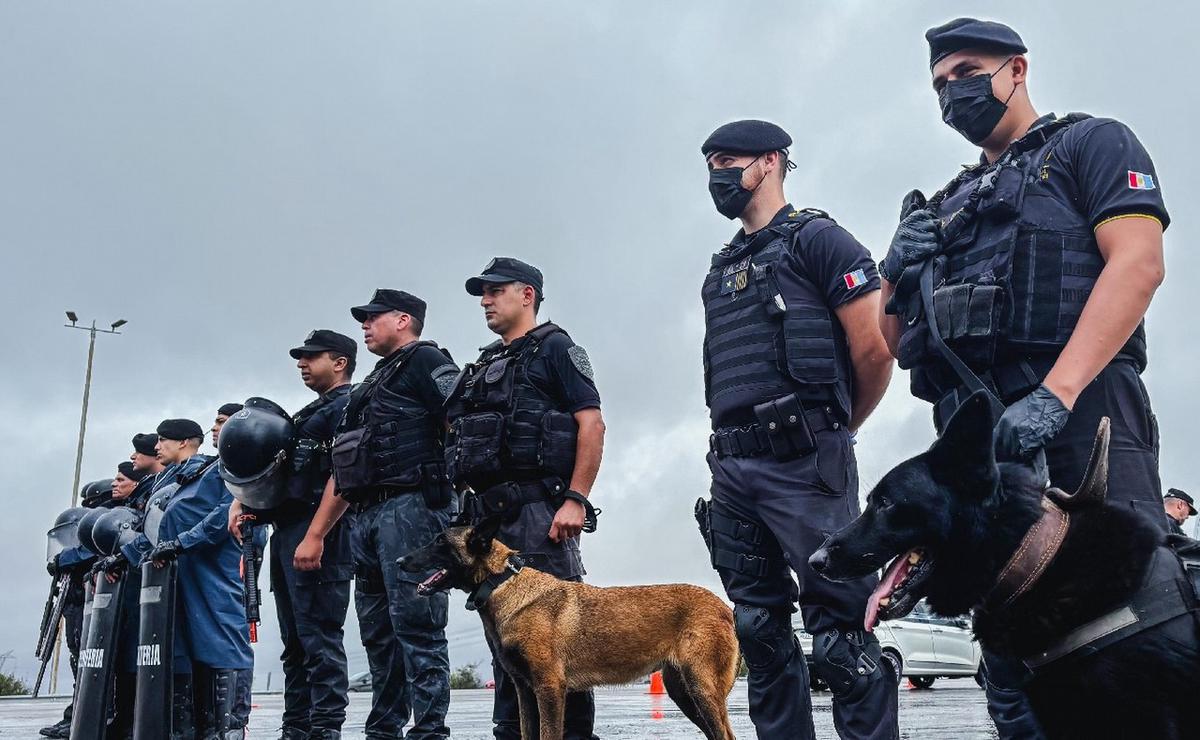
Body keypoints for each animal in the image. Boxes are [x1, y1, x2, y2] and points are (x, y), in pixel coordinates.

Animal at [398, 513, 734, 738]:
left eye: (440, 542)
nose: (399, 561)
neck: (501, 582)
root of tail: (722, 605)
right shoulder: (525, 692)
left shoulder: (549, 689)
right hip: (683, 691)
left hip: (701, 688)